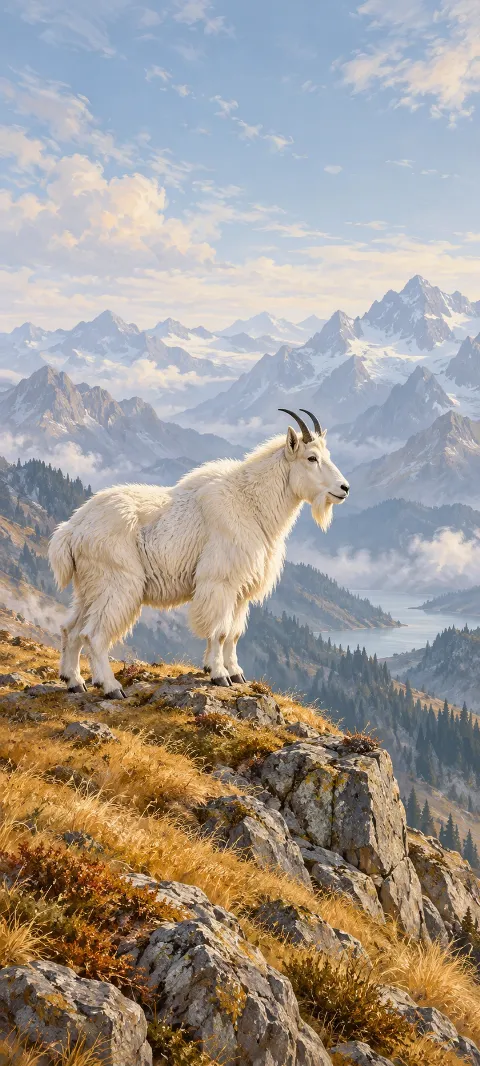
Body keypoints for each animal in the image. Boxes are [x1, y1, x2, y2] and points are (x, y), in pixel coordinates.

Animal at [49, 410, 349, 696]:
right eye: (311, 458)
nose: (344, 488)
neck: (251, 504)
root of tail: (71, 530)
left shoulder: (241, 589)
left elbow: (234, 633)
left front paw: (235, 673)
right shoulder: (220, 581)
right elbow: (219, 631)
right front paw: (218, 674)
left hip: (89, 587)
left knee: (70, 630)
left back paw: (74, 682)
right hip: (117, 583)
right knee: (94, 635)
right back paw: (111, 687)